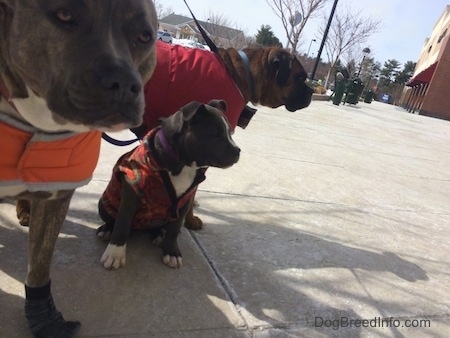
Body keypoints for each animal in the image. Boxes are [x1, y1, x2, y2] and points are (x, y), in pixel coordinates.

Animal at [0, 1, 158, 336]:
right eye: (64, 14)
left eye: (144, 36)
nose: (124, 84)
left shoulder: (56, 195)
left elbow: (40, 265)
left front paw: (44, 318)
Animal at [96, 99, 241, 270]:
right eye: (216, 134)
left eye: (230, 133)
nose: (238, 151)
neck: (183, 164)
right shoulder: (131, 194)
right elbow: (122, 224)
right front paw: (114, 254)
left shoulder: (183, 203)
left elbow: (174, 229)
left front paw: (171, 252)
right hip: (104, 205)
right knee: (114, 220)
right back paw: (107, 230)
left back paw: (158, 234)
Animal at [134, 39, 312, 230]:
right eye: (300, 78)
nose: (311, 92)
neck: (244, 75)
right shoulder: (201, 154)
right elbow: (193, 189)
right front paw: (190, 219)